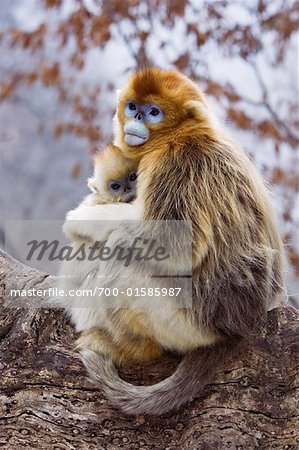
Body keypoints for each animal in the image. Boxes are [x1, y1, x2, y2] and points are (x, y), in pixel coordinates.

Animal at [64, 67, 288, 414]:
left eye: (153, 112)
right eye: (133, 107)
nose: (136, 119)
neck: (181, 134)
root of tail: (242, 327)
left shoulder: (176, 163)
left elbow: (176, 246)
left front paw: (80, 219)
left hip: (187, 324)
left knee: (117, 254)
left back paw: (131, 349)